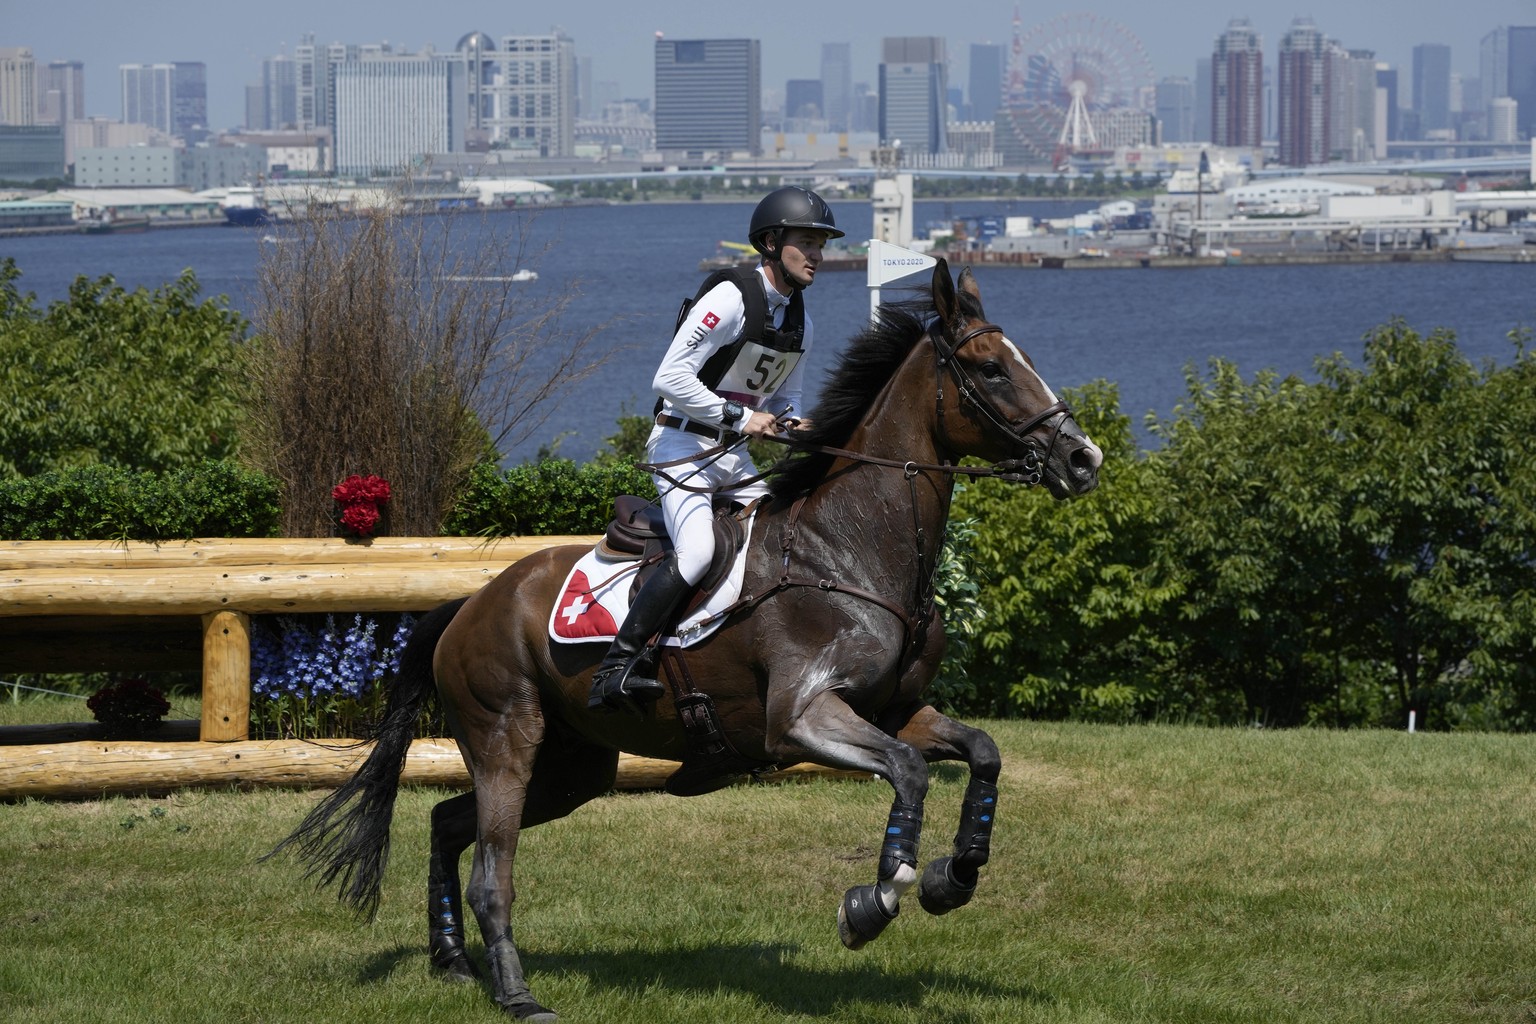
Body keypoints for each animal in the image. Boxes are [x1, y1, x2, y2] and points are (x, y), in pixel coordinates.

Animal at [267, 257, 1105, 1019]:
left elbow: (981, 753)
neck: (849, 551)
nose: (1083, 459)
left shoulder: (896, 710)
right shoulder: (802, 719)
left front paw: (951, 878)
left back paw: (451, 962)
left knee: (447, 823)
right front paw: (876, 900)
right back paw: (517, 994)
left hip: (574, 768)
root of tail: (471, 604)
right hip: (507, 736)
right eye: (991, 369)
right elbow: (908, 772)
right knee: (492, 872)